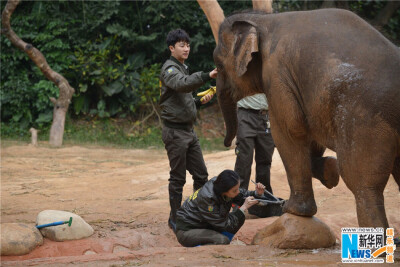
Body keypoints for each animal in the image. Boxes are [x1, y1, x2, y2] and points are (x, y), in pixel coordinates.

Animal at [214, 9, 400, 229]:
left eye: (218, 64)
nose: (228, 144)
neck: (264, 19)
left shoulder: (277, 75)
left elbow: (289, 131)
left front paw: (293, 209)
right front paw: (330, 173)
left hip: (364, 121)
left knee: (363, 184)